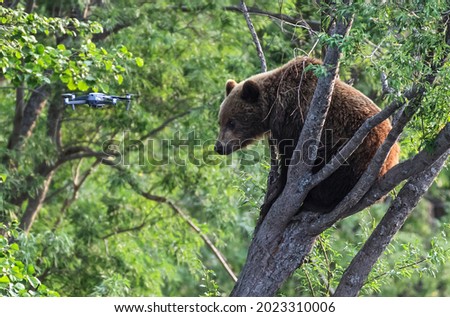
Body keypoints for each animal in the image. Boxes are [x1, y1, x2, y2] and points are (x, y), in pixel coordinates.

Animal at [215, 55, 400, 211]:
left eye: (232, 122)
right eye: (220, 121)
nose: (219, 147)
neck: (275, 104)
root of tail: (395, 155)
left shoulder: (297, 120)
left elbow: (290, 161)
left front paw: (272, 197)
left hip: (359, 153)